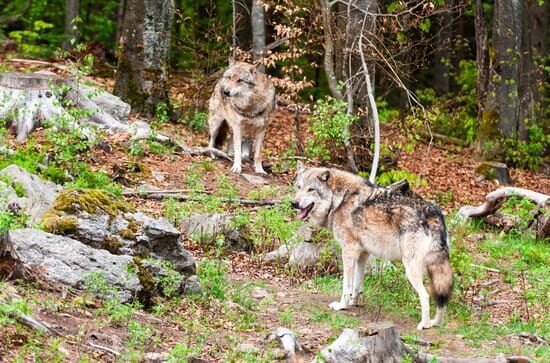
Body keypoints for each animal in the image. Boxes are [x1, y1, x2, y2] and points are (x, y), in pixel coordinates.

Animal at [292, 164, 454, 332]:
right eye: (299, 187)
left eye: (311, 189)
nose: (294, 203)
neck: (339, 200)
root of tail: (434, 213)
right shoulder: (363, 254)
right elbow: (357, 284)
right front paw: (354, 302)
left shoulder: (348, 251)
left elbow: (346, 285)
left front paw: (342, 305)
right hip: (434, 268)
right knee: (442, 297)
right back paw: (436, 322)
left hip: (411, 268)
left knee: (426, 295)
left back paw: (425, 324)